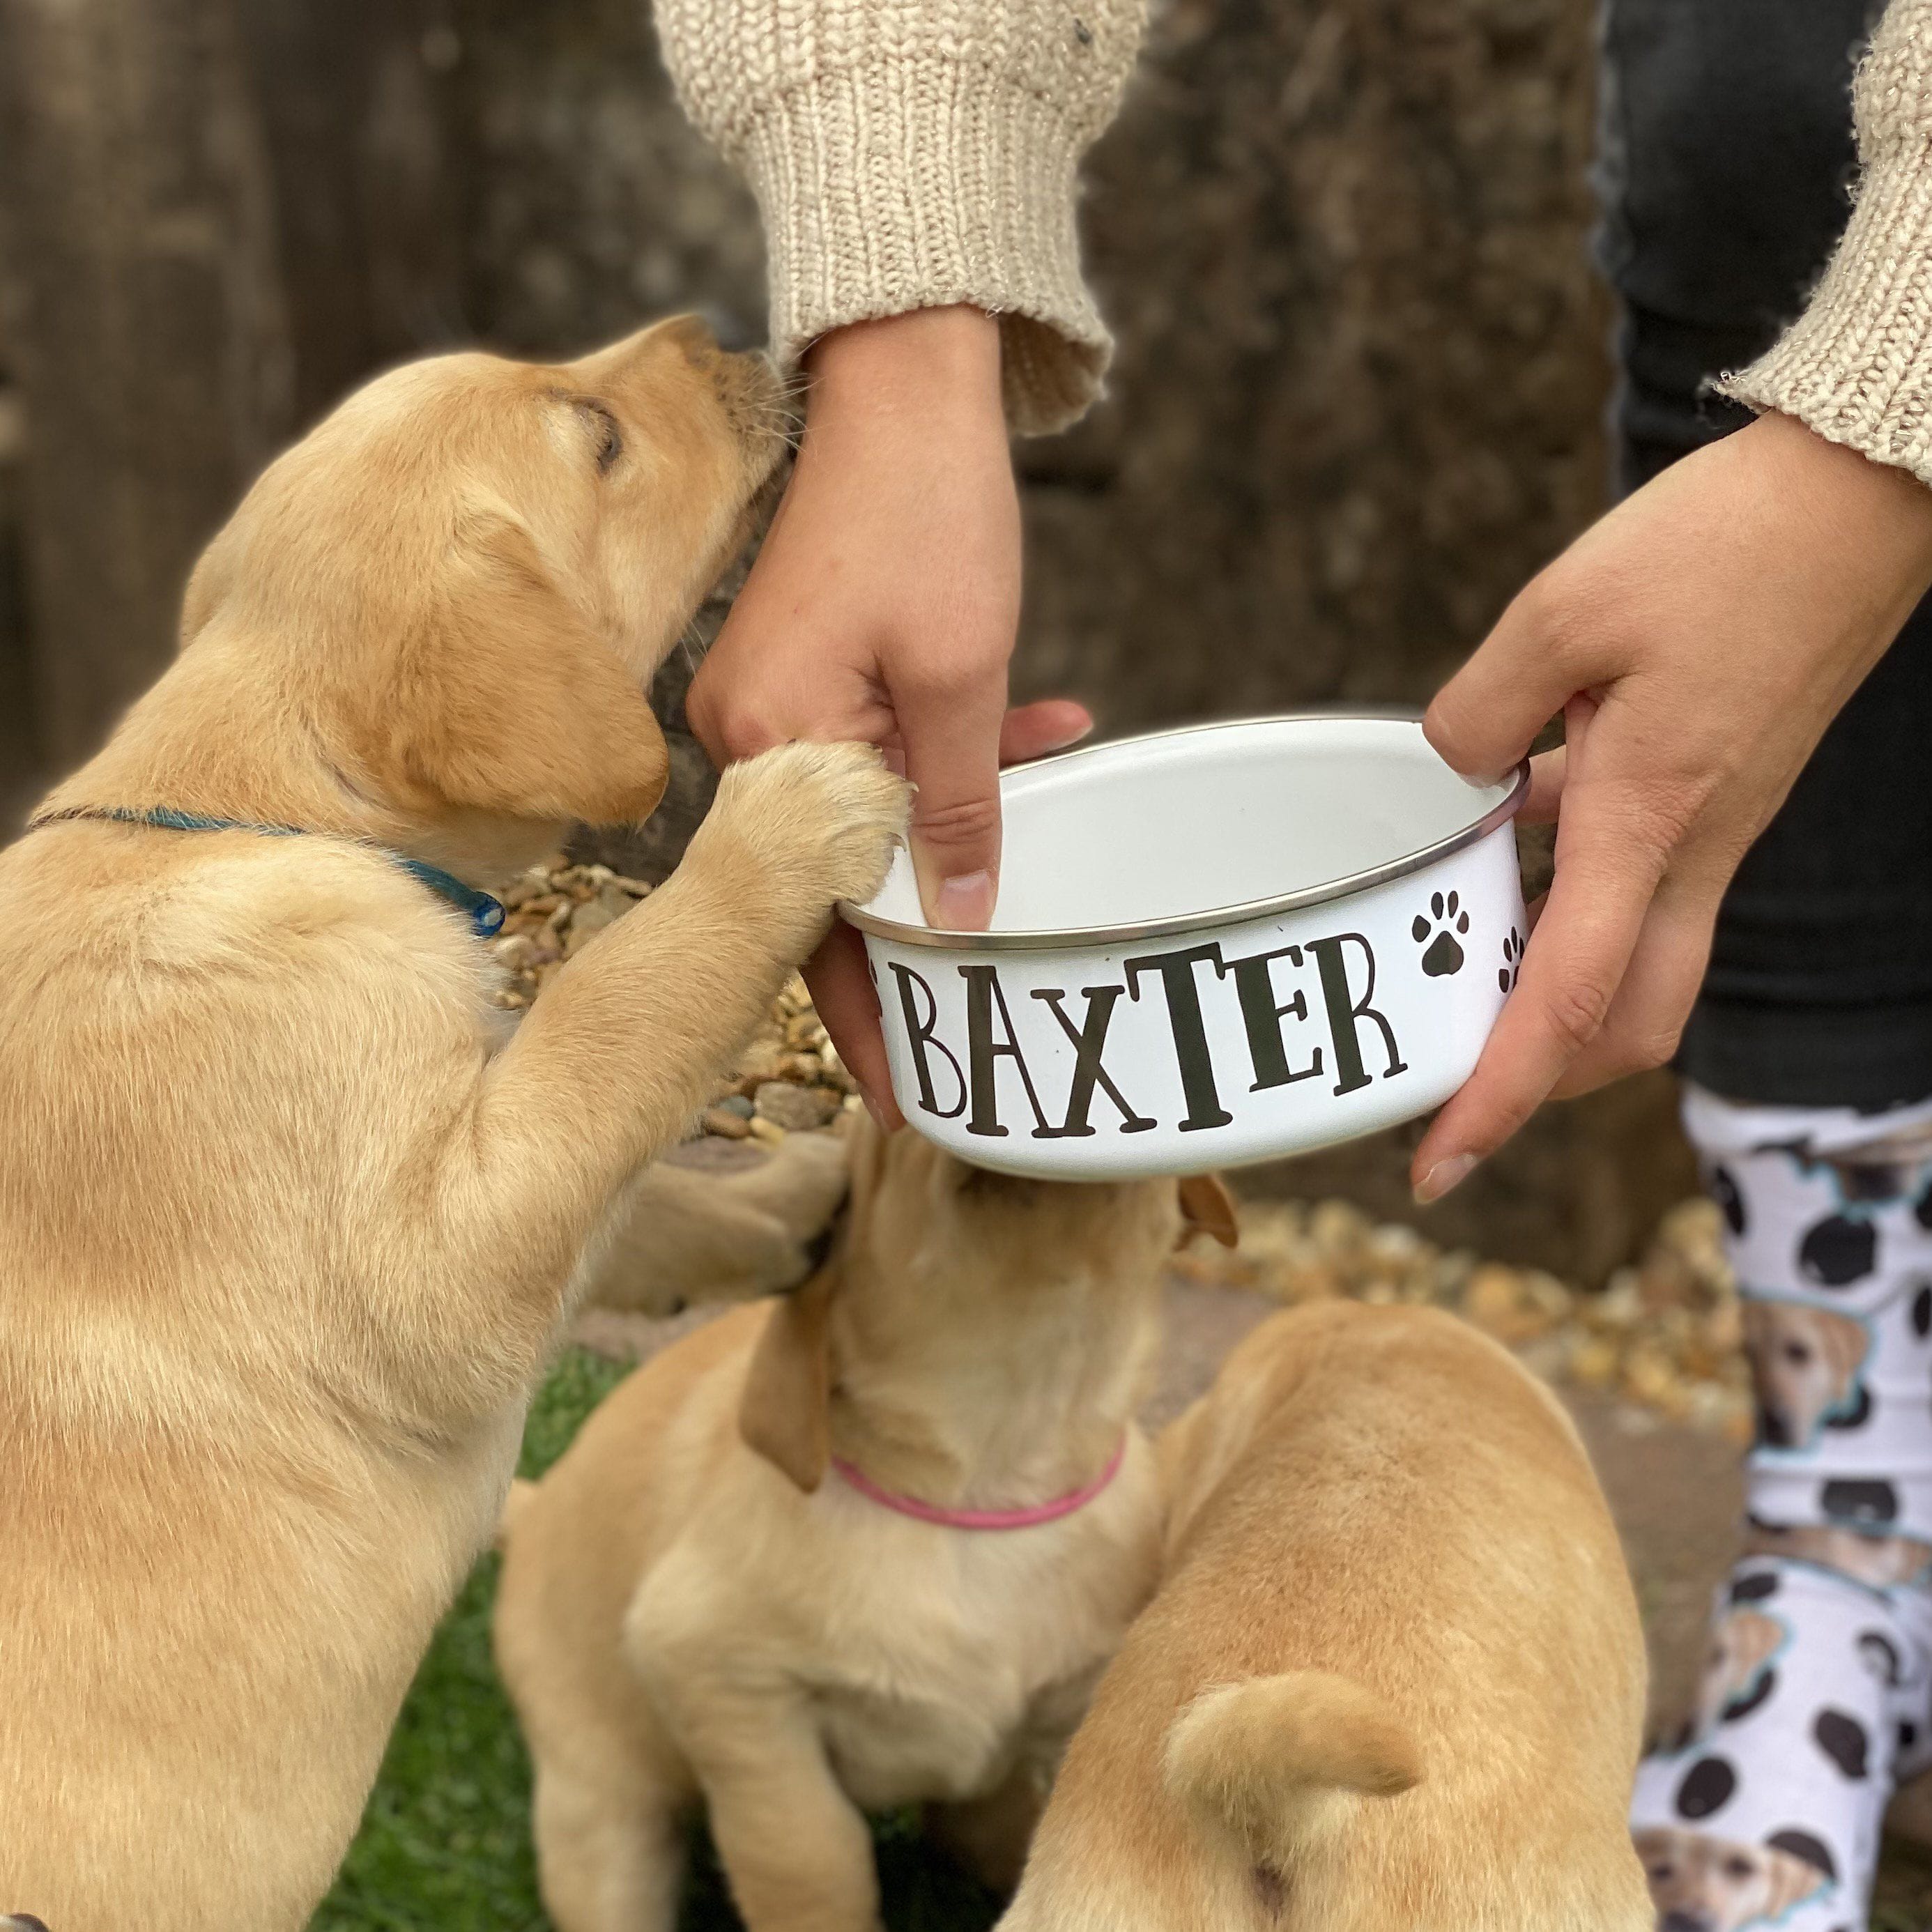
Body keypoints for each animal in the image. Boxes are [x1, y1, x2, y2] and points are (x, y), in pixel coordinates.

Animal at [0, 316, 904, 1932]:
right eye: (599, 439)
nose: (714, 328)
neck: (264, 811)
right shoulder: (436, 1262)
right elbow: (621, 1005)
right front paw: (779, 826)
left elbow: (633, 1182)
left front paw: (774, 1210)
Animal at [491, 1120, 1228, 1932]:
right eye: (887, 1139)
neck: (987, 1486)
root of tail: (535, 1509)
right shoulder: (727, 1686)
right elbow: (811, 1859)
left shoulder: (1080, 1706)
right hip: (603, 1816)